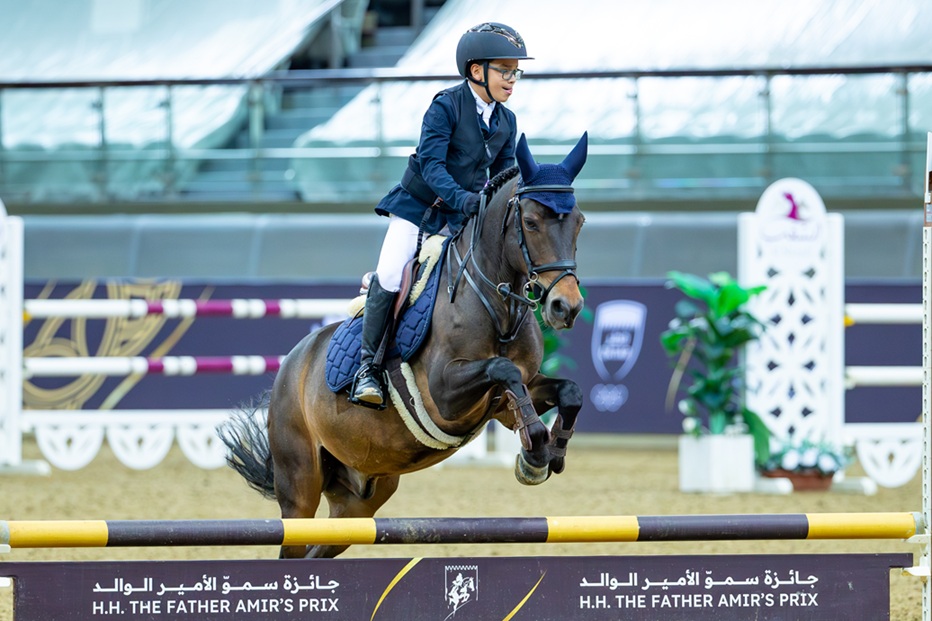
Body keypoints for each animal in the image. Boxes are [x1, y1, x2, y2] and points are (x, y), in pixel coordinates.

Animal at [219, 132, 589, 559]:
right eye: (530, 222)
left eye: (579, 222)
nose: (565, 307)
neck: (498, 310)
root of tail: (292, 364)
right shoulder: (446, 395)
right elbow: (503, 369)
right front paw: (535, 452)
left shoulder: (507, 400)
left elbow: (568, 391)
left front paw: (548, 453)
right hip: (300, 487)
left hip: (357, 503)